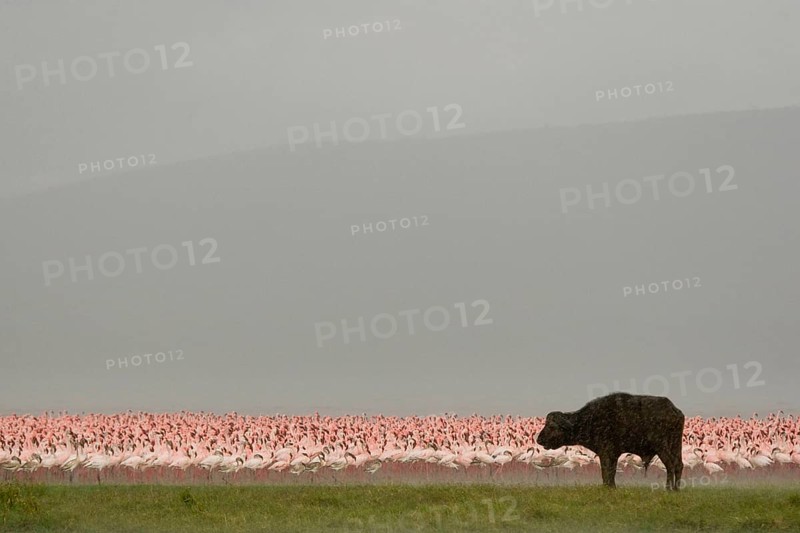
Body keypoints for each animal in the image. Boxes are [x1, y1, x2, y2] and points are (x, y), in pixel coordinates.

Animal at [536, 392, 685, 490]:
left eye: (551, 426)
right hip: (676, 444)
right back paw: (676, 489)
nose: (539, 439)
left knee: (670, 464)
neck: (590, 421)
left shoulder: (605, 453)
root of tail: (674, 410)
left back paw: (668, 488)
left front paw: (607, 487)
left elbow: (605, 472)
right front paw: (612, 487)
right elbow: (611, 472)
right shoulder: (613, 455)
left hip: (661, 446)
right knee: (679, 464)